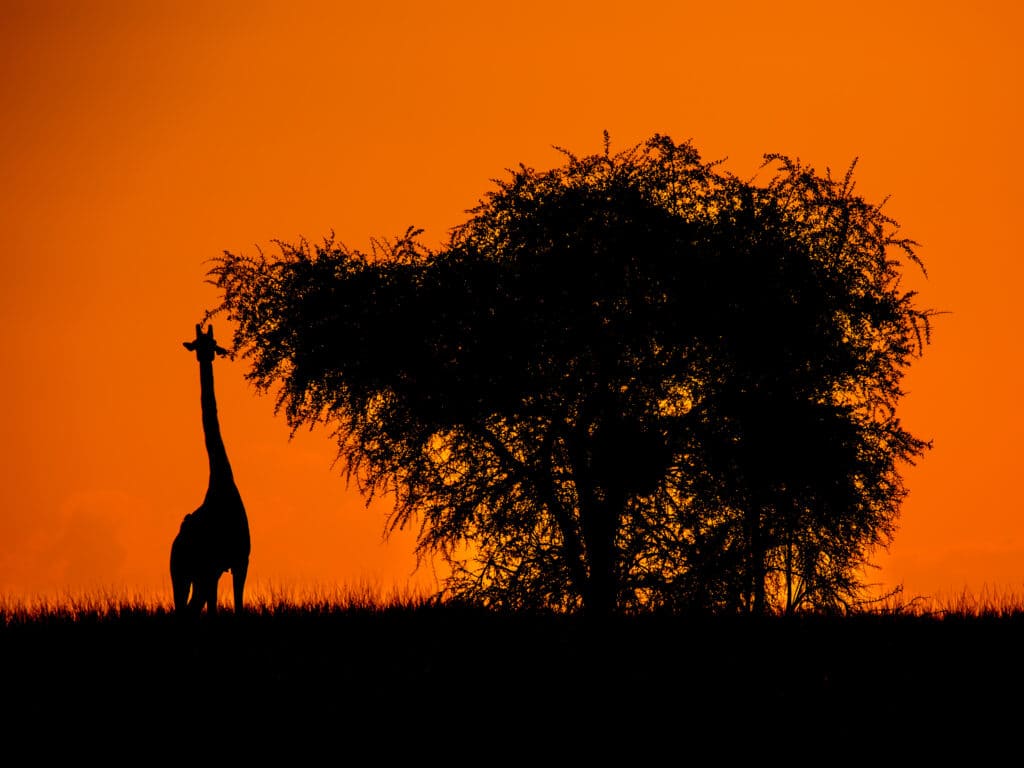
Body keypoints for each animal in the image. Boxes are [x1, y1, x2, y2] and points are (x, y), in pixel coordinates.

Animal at [171, 321, 250, 618]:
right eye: (197, 343)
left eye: (213, 344)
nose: (206, 357)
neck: (222, 484)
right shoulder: (220, 565)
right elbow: (224, 609)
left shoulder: (237, 563)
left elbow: (236, 607)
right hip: (183, 574)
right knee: (184, 609)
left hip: (192, 577)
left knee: (190, 609)